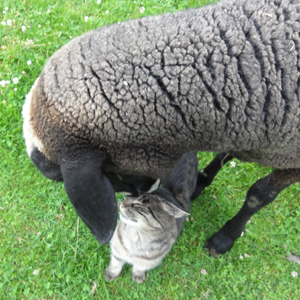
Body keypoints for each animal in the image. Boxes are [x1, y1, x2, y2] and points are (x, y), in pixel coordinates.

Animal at [22, 0, 300, 258]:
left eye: (112, 174)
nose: (146, 193)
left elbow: (259, 194)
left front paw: (224, 238)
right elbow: (223, 155)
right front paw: (201, 181)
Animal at [103, 154, 199, 282]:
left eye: (139, 205)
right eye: (130, 196)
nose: (122, 204)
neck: (136, 237)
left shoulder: (151, 261)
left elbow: (140, 266)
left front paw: (137, 275)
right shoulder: (116, 249)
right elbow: (115, 263)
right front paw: (111, 274)